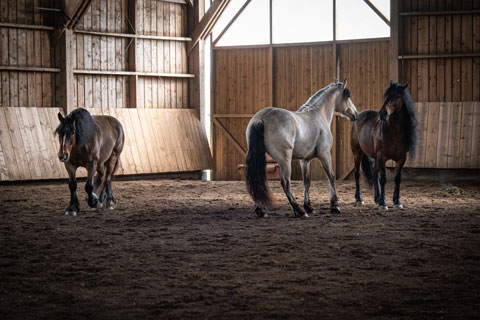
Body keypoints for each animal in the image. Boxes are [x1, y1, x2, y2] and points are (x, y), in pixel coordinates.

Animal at [246, 80, 358, 218]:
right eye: (347, 96)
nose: (355, 114)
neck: (318, 114)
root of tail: (262, 117)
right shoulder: (325, 155)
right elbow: (331, 177)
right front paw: (334, 206)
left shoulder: (305, 160)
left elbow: (307, 182)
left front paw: (309, 206)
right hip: (285, 160)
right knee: (286, 182)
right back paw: (298, 210)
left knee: (256, 179)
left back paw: (261, 210)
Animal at [350, 80, 418, 210]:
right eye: (387, 96)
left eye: (398, 96)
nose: (382, 113)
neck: (394, 132)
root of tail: (359, 116)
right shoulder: (382, 156)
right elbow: (383, 179)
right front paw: (383, 203)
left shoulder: (402, 158)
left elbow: (397, 179)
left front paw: (397, 202)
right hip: (357, 153)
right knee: (356, 174)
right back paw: (359, 199)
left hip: (374, 157)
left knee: (374, 173)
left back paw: (376, 198)